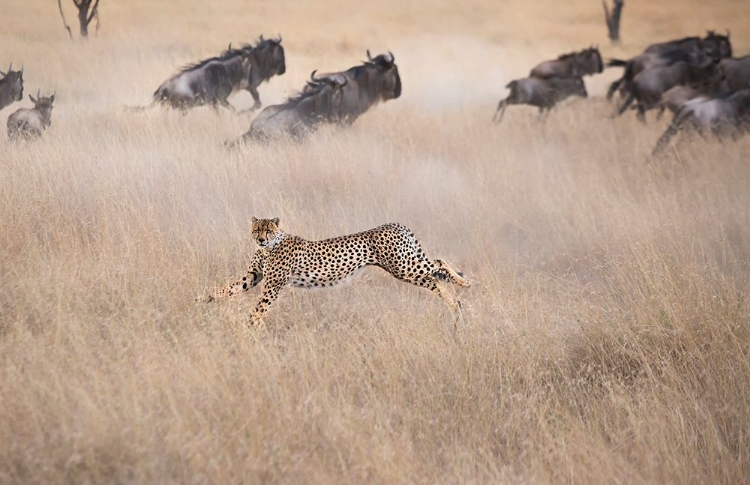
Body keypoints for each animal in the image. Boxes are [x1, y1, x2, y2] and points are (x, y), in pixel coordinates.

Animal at [206, 216, 472, 326]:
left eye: (268, 231)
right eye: (256, 230)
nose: (261, 240)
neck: (269, 247)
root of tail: (394, 224)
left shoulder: (271, 285)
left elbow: (260, 307)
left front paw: (252, 325)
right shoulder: (254, 276)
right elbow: (230, 288)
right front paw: (205, 299)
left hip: (404, 267)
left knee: (437, 267)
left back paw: (463, 288)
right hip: (407, 265)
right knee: (436, 274)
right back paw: (458, 299)